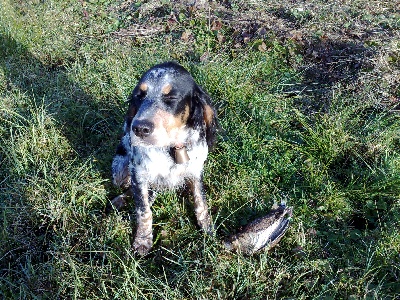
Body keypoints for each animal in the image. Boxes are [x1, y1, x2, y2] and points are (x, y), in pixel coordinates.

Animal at [111, 61, 217, 255]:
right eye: (139, 96)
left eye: (172, 97)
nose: (139, 128)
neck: (171, 148)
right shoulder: (139, 174)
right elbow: (144, 210)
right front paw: (143, 240)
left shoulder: (195, 171)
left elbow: (200, 201)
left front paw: (207, 226)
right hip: (120, 172)